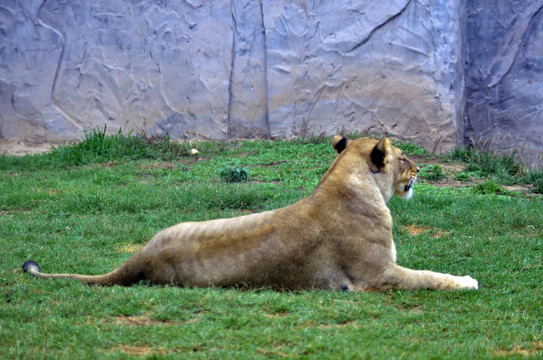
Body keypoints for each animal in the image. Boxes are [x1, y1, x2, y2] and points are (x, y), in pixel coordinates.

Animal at [23, 136, 478, 292]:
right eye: (402, 158)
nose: (418, 170)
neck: (345, 182)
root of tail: (143, 256)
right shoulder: (376, 275)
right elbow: (429, 278)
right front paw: (467, 281)